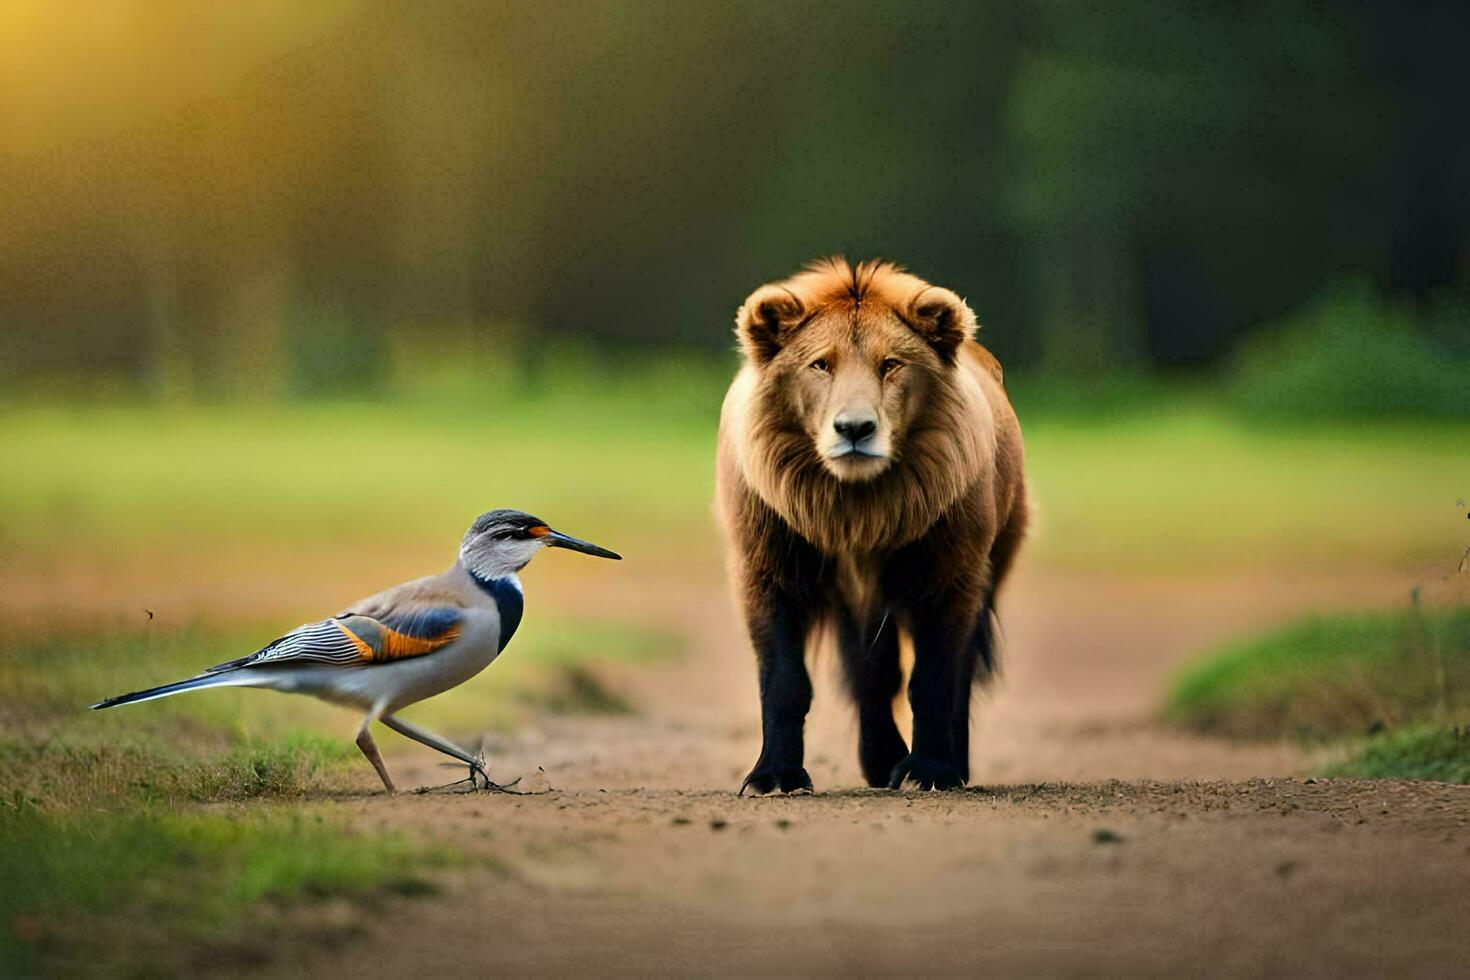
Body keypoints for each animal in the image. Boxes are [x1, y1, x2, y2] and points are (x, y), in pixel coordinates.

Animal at [717, 257, 1029, 793]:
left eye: (891, 365)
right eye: (821, 364)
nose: (855, 429)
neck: (855, 508)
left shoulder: (951, 573)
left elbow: (935, 679)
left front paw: (931, 771)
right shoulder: (766, 569)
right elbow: (784, 682)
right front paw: (774, 775)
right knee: (872, 675)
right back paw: (881, 759)